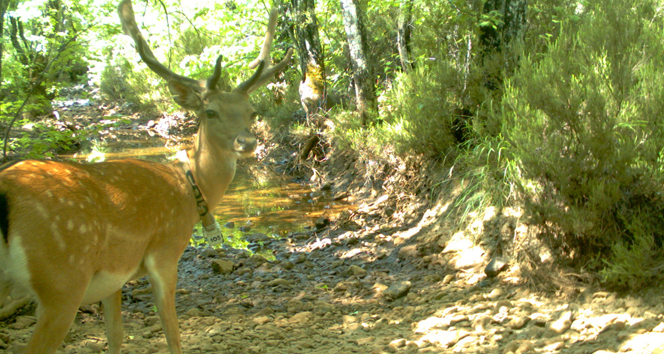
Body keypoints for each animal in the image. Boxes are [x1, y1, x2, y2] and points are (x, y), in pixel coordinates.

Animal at [0, 1, 294, 352]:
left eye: (252, 112)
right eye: (210, 112)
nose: (247, 142)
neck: (189, 188)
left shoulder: (113, 278)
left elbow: (115, 335)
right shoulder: (165, 252)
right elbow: (172, 333)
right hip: (62, 276)